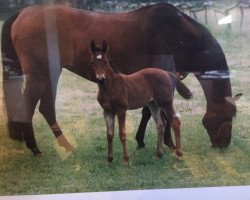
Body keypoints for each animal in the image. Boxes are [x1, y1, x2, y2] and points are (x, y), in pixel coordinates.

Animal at [1, 3, 240, 155]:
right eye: (230, 115)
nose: (224, 144)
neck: (177, 34)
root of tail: (21, 13)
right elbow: (163, 112)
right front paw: (170, 144)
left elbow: (148, 111)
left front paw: (141, 141)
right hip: (39, 73)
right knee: (29, 106)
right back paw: (34, 148)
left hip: (51, 72)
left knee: (46, 108)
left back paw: (66, 145)